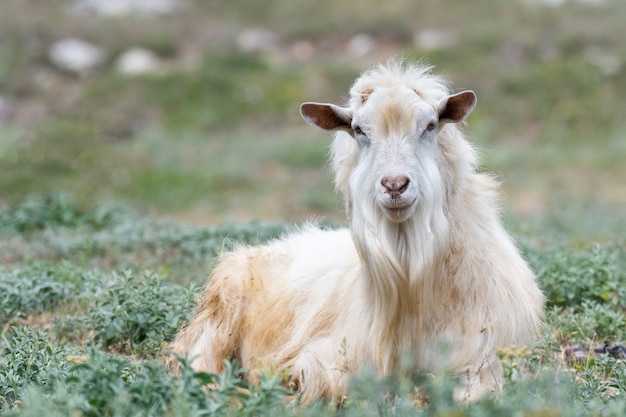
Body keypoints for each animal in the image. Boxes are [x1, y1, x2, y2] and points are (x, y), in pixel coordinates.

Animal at [168, 61, 544, 404]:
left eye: (430, 125)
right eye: (359, 129)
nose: (395, 185)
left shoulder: (482, 363)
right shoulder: (326, 357)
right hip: (217, 319)